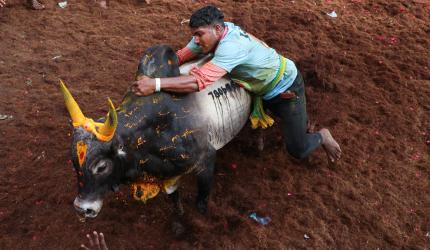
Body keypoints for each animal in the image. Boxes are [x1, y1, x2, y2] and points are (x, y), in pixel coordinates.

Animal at [58, 45, 250, 221]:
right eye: (74, 162)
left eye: (102, 166)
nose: (82, 209)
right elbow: (173, 196)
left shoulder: (206, 159)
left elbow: (201, 201)